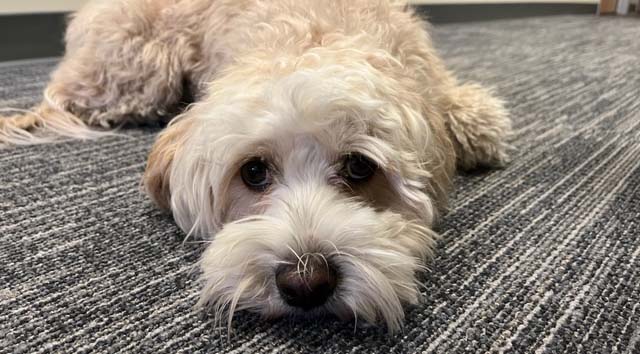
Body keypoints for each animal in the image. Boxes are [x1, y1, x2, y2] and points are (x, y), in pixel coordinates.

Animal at [0, 0, 510, 332]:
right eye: (253, 172)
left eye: (359, 168)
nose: (306, 283)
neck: (314, 35)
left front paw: (476, 125)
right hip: (137, 69)